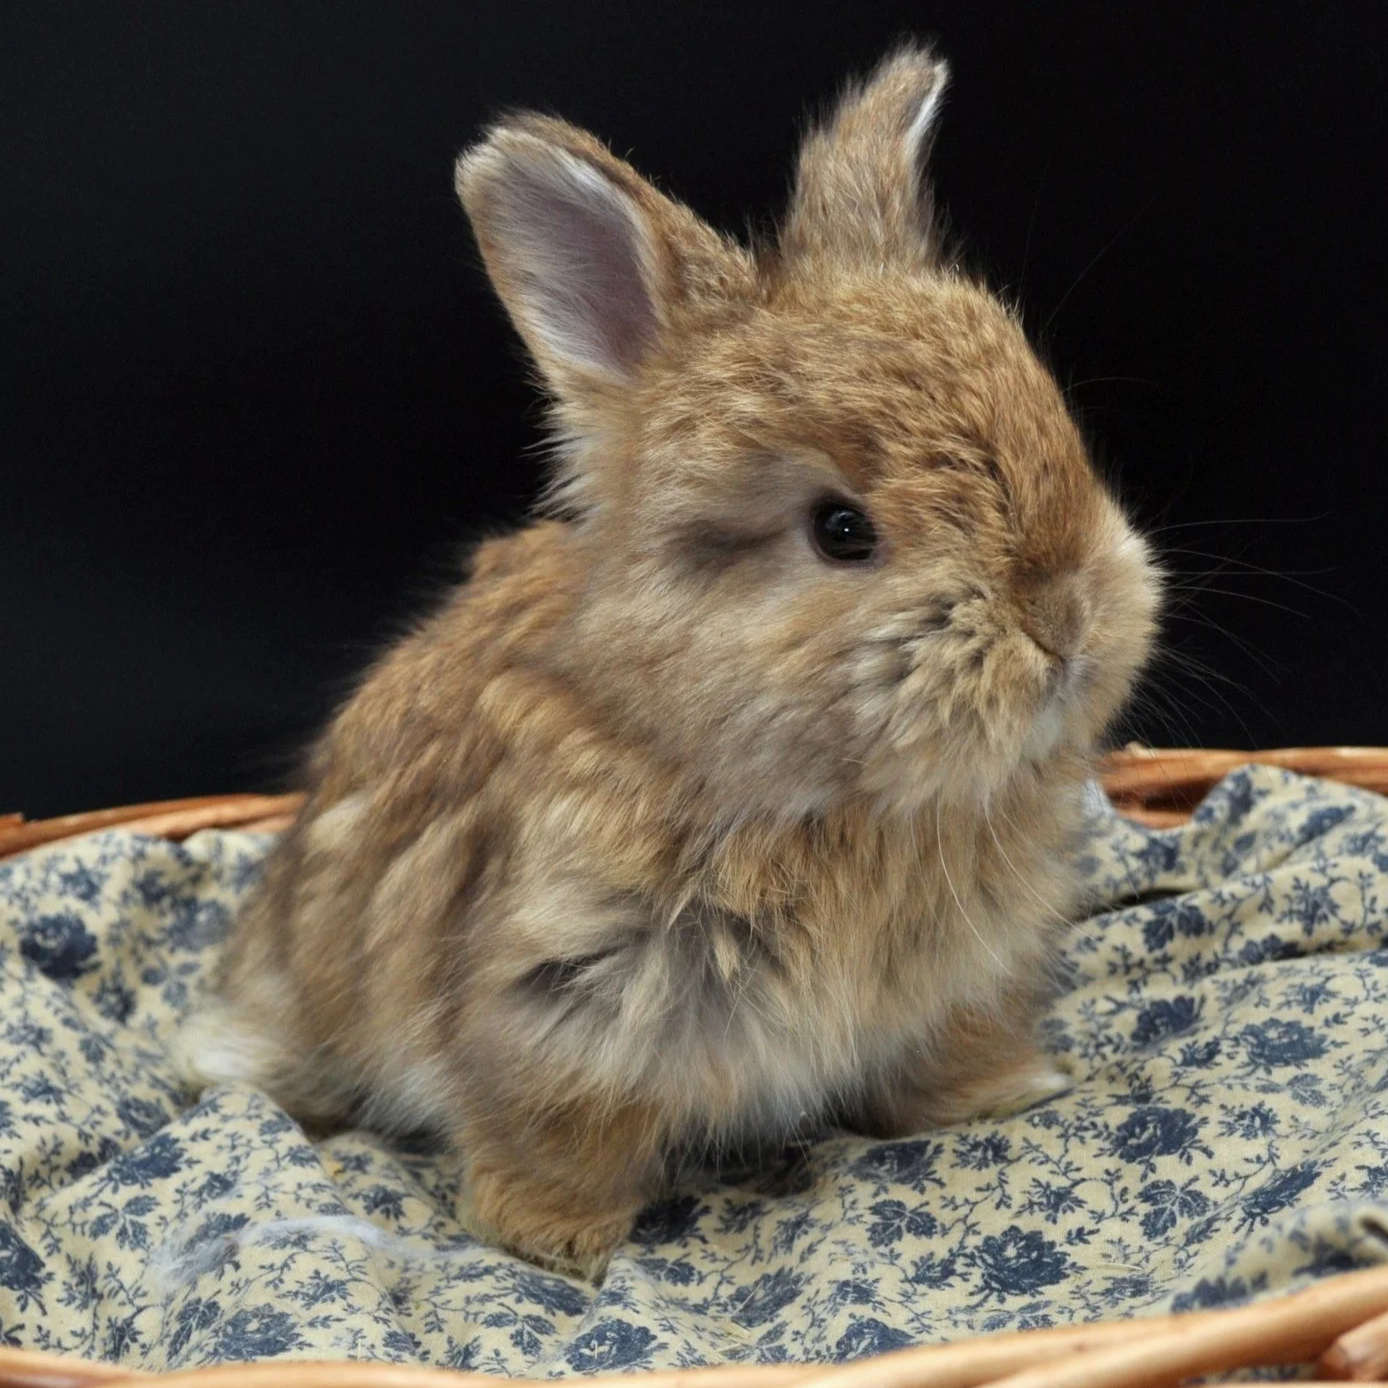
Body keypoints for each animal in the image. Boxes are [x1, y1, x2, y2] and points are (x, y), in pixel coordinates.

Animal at [186, 45, 1160, 1279]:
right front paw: (553, 1246)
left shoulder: (962, 979)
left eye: (1056, 430)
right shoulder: (556, 1000)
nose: (1065, 623)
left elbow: (942, 1060)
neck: (823, 799)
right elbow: (556, 1131)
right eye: (841, 530)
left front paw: (1012, 1092)